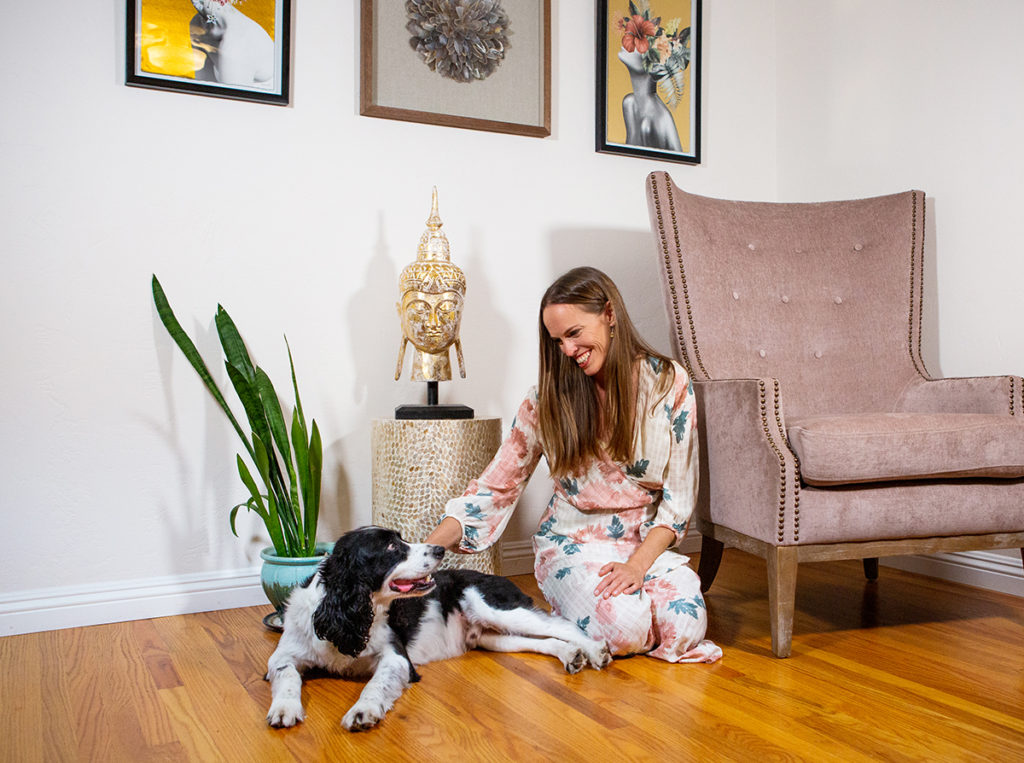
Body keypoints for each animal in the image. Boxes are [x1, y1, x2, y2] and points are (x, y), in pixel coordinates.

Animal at [265, 526, 611, 732]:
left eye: (400, 538)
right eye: (391, 547)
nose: (439, 550)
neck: (347, 613)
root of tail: (499, 576)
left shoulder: (397, 658)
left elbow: (375, 685)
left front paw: (363, 711)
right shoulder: (284, 654)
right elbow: (286, 675)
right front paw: (283, 708)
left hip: (493, 606)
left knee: (561, 624)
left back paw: (595, 650)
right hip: (493, 637)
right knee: (545, 639)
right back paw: (571, 656)